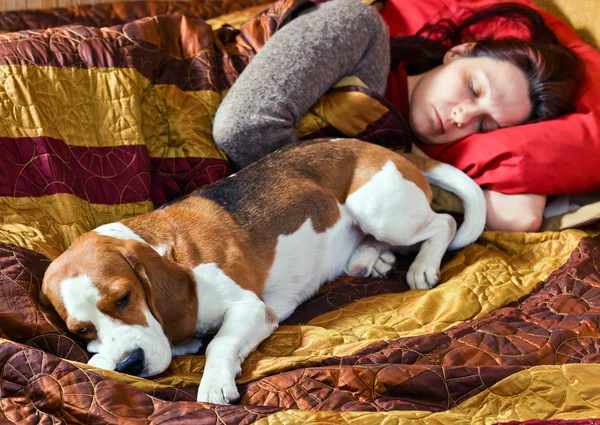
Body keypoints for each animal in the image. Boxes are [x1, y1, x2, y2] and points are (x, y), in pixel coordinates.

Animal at [39, 139, 486, 404]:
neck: (167, 251)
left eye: (124, 298)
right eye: (81, 330)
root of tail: (386, 149)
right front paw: (106, 359)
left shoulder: (251, 309)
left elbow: (218, 343)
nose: (131, 364)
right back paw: (369, 257)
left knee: (444, 223)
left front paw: (214, 382)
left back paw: (423, 264)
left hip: (379, 210)